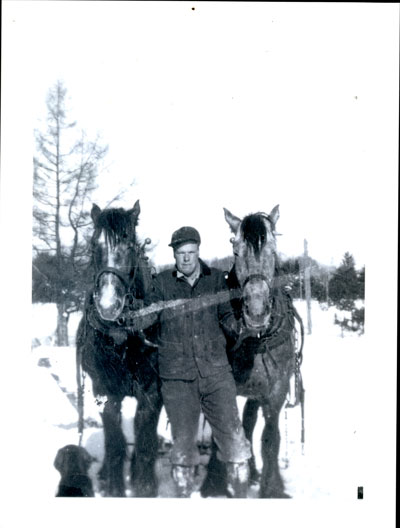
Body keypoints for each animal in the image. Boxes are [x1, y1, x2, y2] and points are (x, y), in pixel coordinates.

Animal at [75, 200, 162, 498]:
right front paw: (114, 486)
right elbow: (114, 438)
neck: (123, 336)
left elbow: (145, 434)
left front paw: (144, 484)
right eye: (93, 245)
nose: (108, 304)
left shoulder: (152, 390)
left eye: (130, 245)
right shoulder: (104, 391)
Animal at [202, 206, 304, 500]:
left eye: (272, 249)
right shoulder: (221, 385)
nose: (256, 312)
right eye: (236, 251)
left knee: (250, 421)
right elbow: (223, 434)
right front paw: (213, 482)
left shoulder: (276, 389)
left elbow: (270, 438)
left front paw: (272, 487)